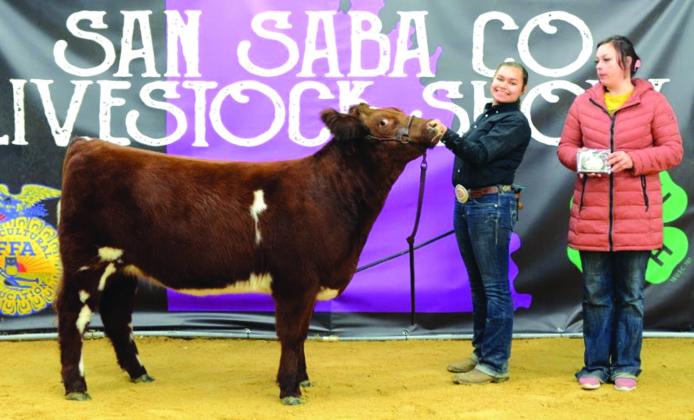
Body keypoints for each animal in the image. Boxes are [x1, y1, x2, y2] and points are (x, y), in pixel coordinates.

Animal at [56, 103, 443, 404]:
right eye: (383, 121)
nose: (435, 125)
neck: (329, 193)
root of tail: (88, 145)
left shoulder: (309, 283)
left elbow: (303, 331)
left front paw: (302, 378)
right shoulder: (295, 278)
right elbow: (292, 333)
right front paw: (290, 390)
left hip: (123, 267)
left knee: (117, 317)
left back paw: (139, 373)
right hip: (86, 260)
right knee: (73, 315)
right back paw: (76, 386)